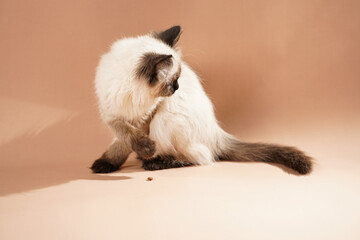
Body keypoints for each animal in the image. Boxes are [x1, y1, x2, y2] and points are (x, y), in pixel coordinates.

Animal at [91, 25, 314, 174]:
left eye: (178, 79)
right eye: (172, 82)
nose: (177, 88)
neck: (129, 98)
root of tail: (218, 133)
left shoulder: (148, 117)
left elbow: (128, 141)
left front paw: (145, 151)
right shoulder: (112, 116)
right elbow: (123, 139)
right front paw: (105, 164)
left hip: (165, 121)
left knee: (201, 158)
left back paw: (156, 162)